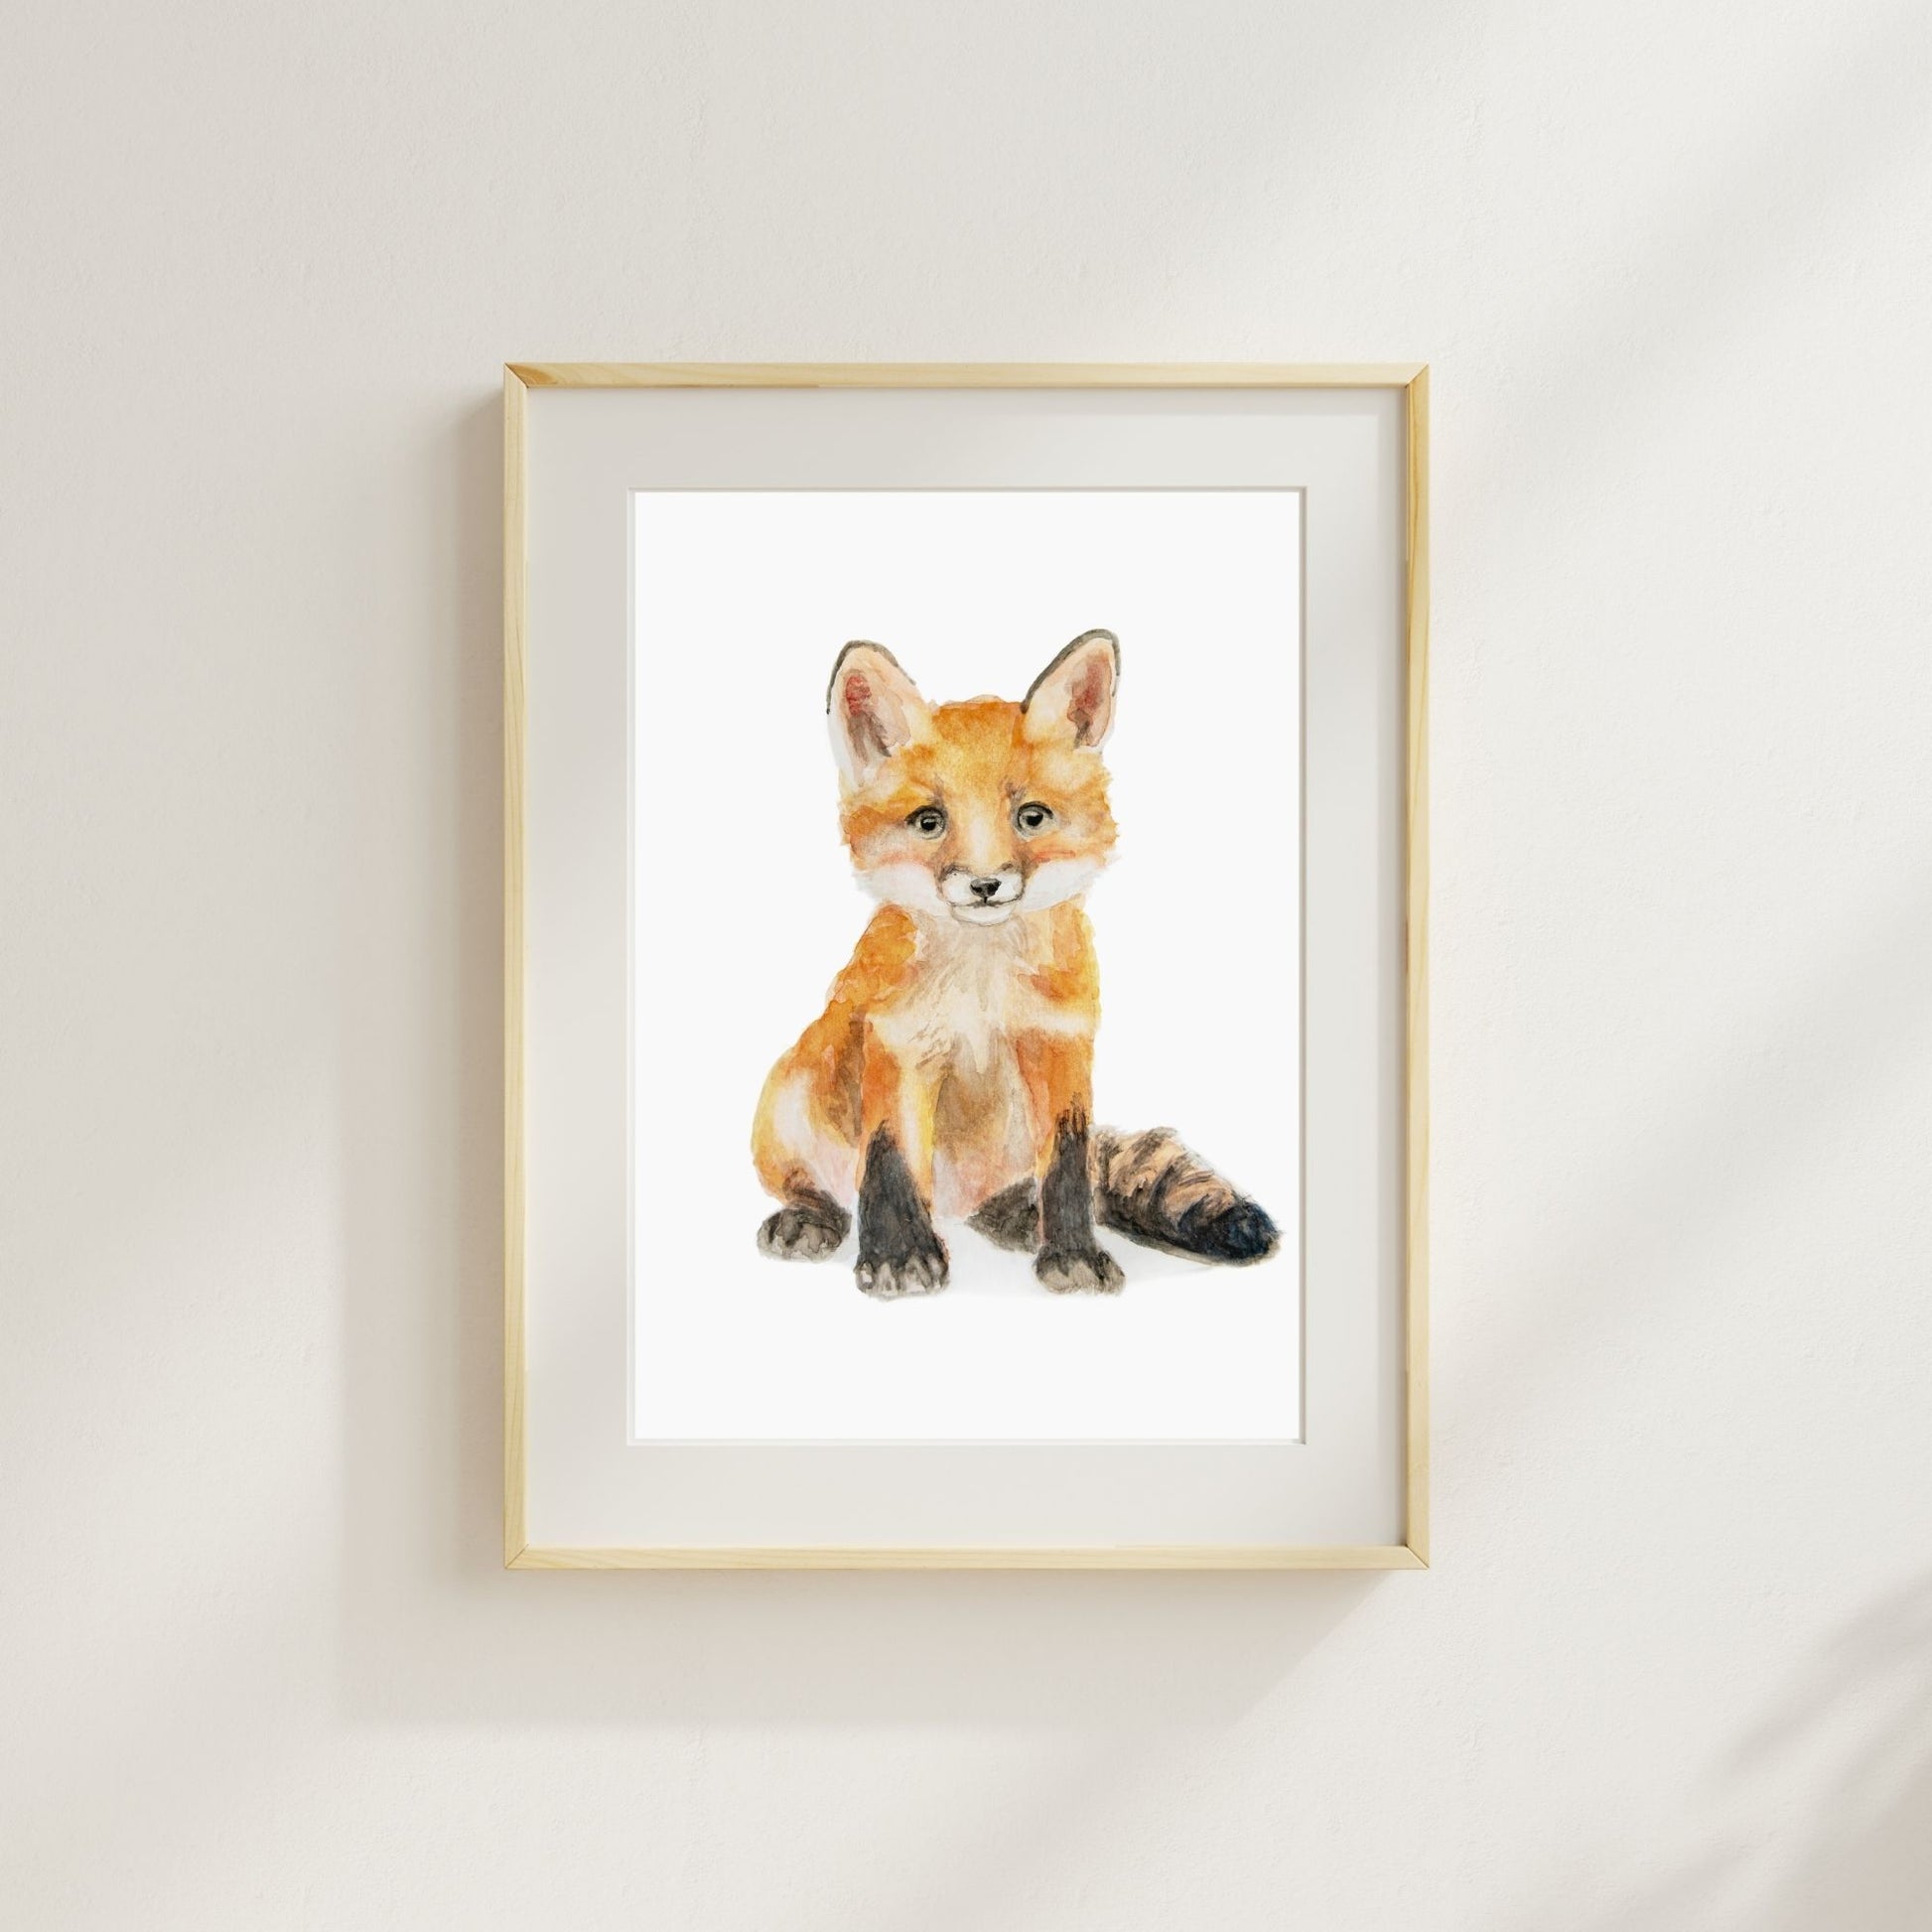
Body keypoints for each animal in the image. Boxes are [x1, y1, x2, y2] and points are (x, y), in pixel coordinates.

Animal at [751, 628, 1279, 1298]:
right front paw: (899, 1257)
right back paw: (810, 1216)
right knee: (826, 1187)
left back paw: (1019, 1216)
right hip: (789, 1097)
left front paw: (1073, 1253)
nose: (985, 885)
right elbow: (890, 1161)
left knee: (1010, 1191)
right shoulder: (900, 1045)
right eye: (929, 821)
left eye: (1032, 817)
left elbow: (1069, 1166)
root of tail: (954, 1203)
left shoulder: (1062, 1044)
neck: (984, 991)